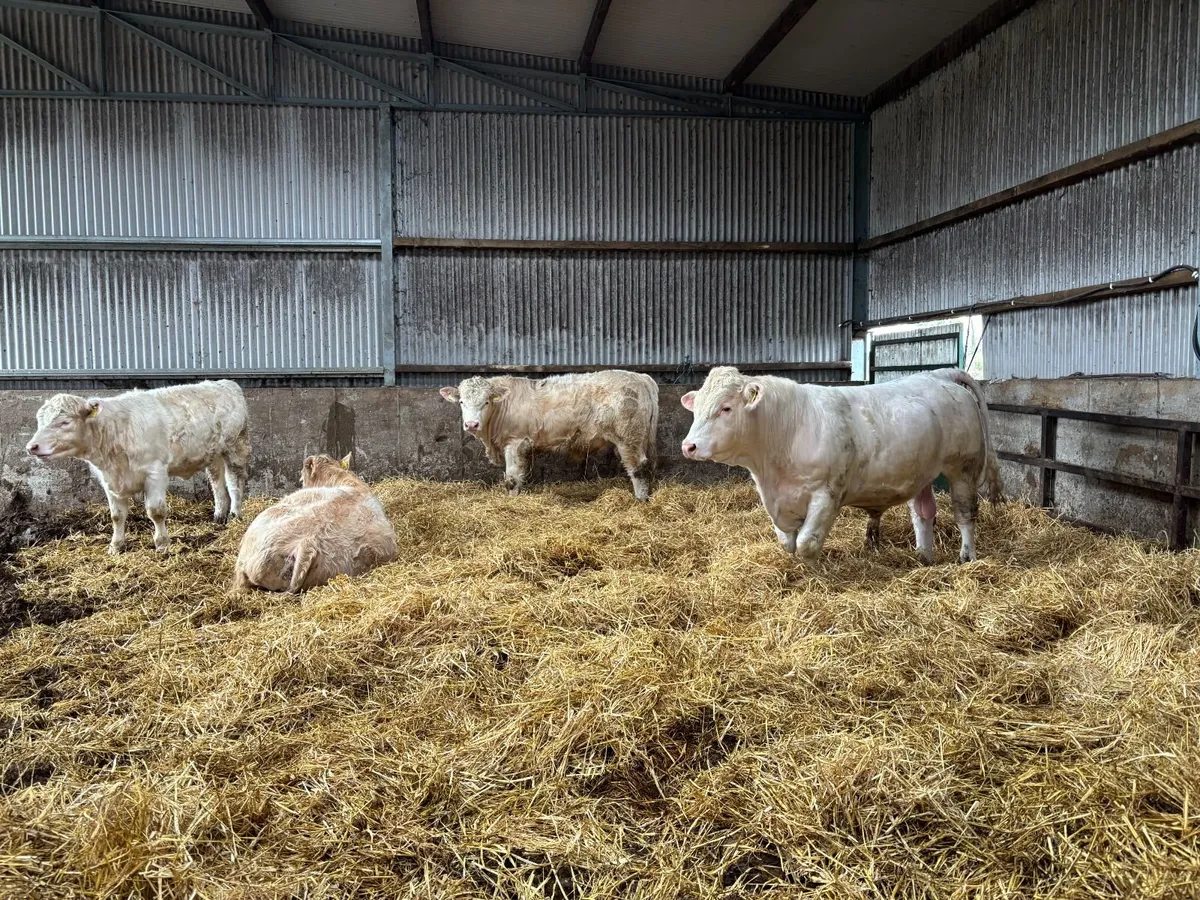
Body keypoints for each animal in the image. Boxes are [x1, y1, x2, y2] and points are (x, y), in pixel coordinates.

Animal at [26, 380, 251, 555]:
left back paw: (235, 514)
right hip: (213, 454)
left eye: (65, 422)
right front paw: (116, 546)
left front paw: (162, 544)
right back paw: (219, 515)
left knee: (234, 482)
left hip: (235, 447)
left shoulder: (155, 472)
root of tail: (224, 383)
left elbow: (156, 511)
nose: (31, 447)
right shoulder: (108, 479)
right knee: (217, 482)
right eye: (38, 421)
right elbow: (116, 515)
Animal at [439, 371, 659, 500]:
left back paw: (640, 500)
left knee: (638, 470)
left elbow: (511, 478)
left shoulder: (515, 442)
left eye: (486, 402)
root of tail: (641, 377)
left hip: (629, 438)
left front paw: (511, 502)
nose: (471, 424)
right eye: (461, 402)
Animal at [680, 367, 1000, 564]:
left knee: (965, 514)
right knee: (923, 514)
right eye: (696, 409)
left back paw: (967, 557)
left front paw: (813, 575)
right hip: (922, 471)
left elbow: (807, 541)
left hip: (962, 467)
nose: (688, 446)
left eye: (725, 408)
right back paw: (922, 556)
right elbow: (788, 542)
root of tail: (937, 374)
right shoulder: (779, 499)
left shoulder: (826, 494)